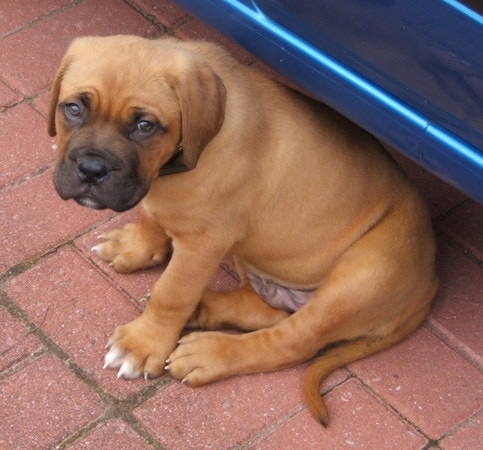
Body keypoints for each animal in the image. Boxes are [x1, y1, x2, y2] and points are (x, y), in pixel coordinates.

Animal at [49, 35, 438, 426]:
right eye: (73, 109)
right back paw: (204, 308)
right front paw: (137, 245)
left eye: (145, 126)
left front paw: (142, 344)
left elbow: (171, 293)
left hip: (362, 275)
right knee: (268, 311)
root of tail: (430, 286)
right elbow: (151, 215)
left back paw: (210, 353)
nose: (91, 169)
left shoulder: (203, 243)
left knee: (290, 342)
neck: (180, 161)